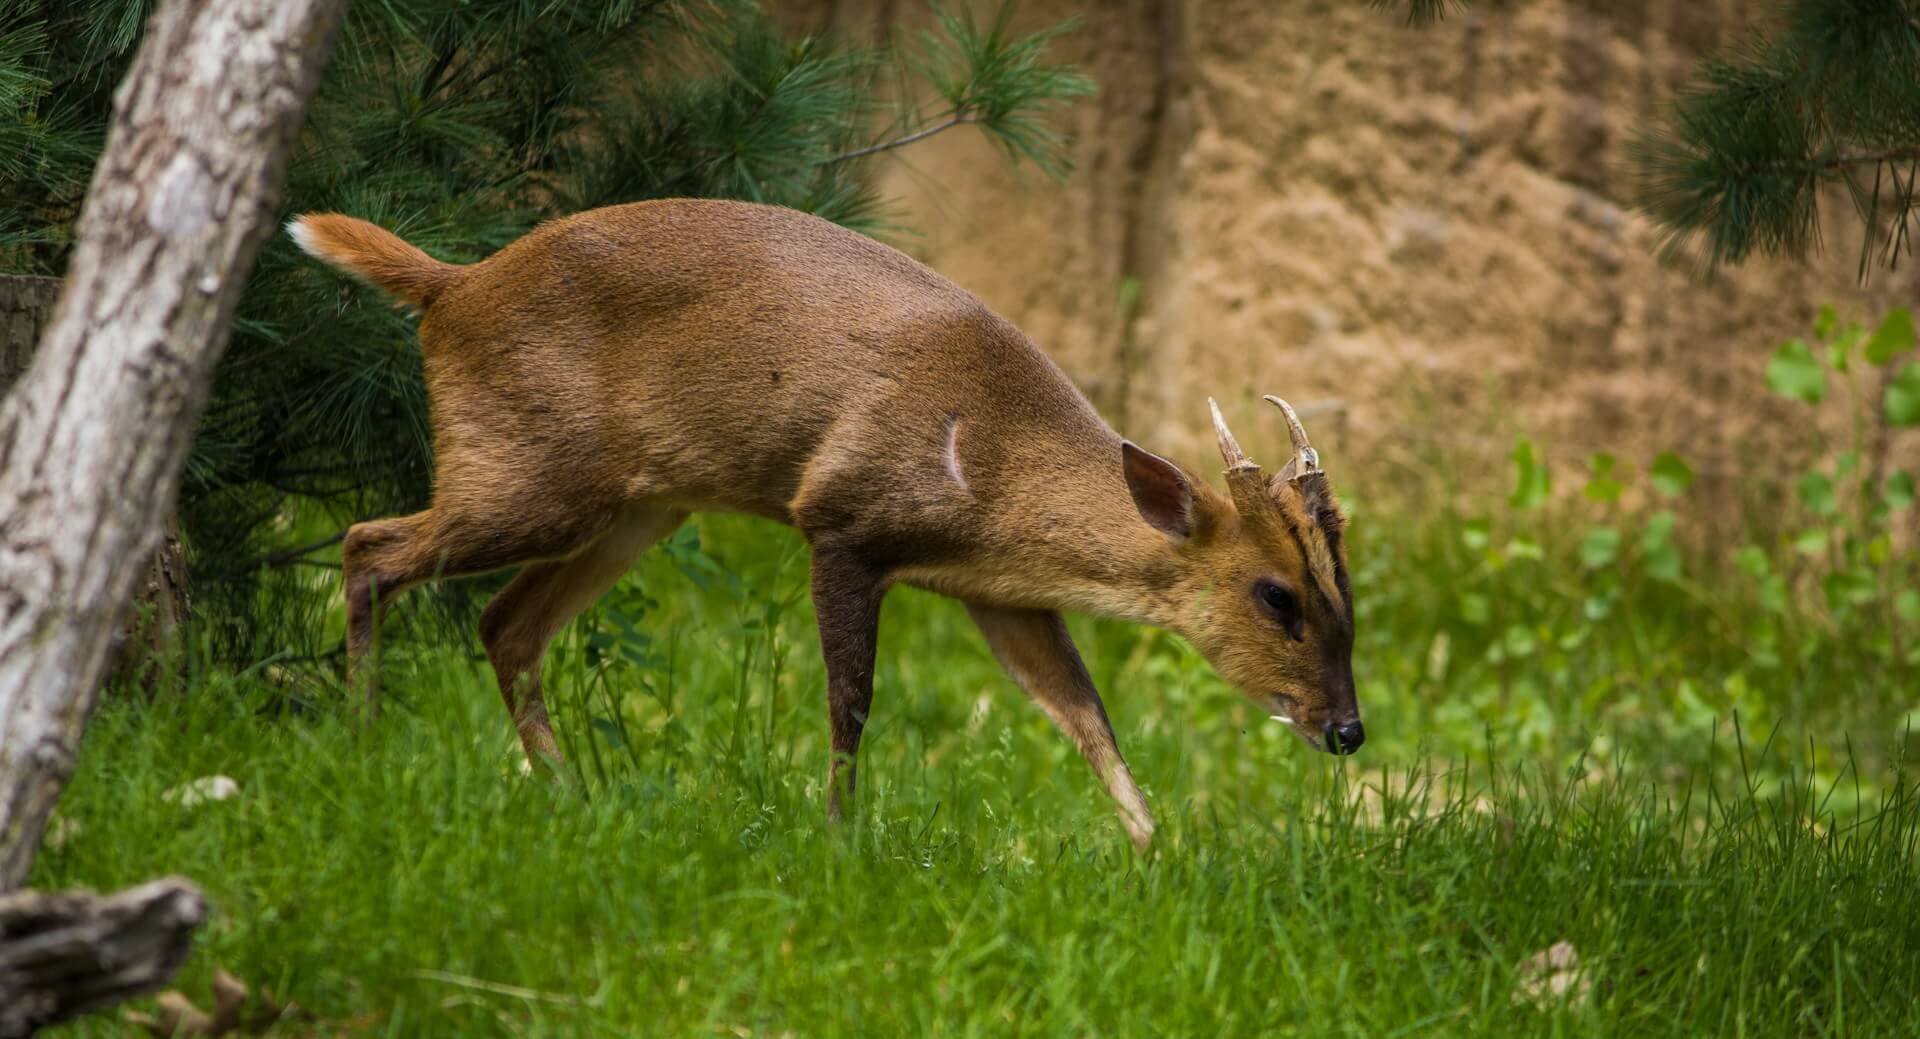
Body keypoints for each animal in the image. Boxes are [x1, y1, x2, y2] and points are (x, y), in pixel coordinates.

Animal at [288, 199, 1360, 849]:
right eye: (1277, 596)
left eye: (1348, 599)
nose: (1348, 730)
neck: (993, 471)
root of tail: (451, 286)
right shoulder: (841, 519)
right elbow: (852, 699)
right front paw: (841, 835)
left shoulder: (1000, 595)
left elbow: (1086, 712)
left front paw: (1155, 848)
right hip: (529, 473)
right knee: (368, 544)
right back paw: (363, 742)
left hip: (637, 507)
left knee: (504, 621)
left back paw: (570, 795)